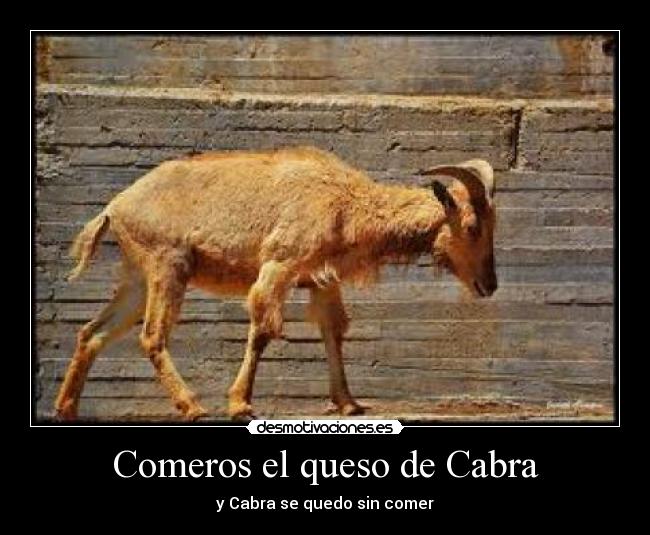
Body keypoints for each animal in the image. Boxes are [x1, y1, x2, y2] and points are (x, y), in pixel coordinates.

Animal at [54, 146, 497, 421]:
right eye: (472, 227)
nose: (489, 285)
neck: (344, 202)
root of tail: (114, 207)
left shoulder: (320, 279)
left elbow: (333, 331)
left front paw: (349, 403)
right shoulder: (279, 266)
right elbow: (264, 330)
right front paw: (240, 404)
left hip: (137, 279)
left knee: (92, 333)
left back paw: (66, 408)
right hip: (168, 266)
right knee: (151, 336)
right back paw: (192, 407)